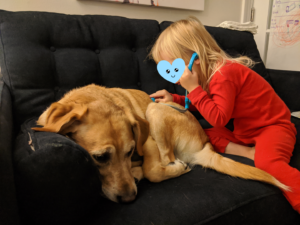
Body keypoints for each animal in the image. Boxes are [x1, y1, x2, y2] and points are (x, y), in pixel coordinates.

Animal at [32, 85, 288, 204]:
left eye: (130, 151)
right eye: (100, 158)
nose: (129, 198)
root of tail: (204, 146)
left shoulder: (147, 142)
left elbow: (153, 169)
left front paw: (143, 171)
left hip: (155, 109)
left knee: (165, 161)